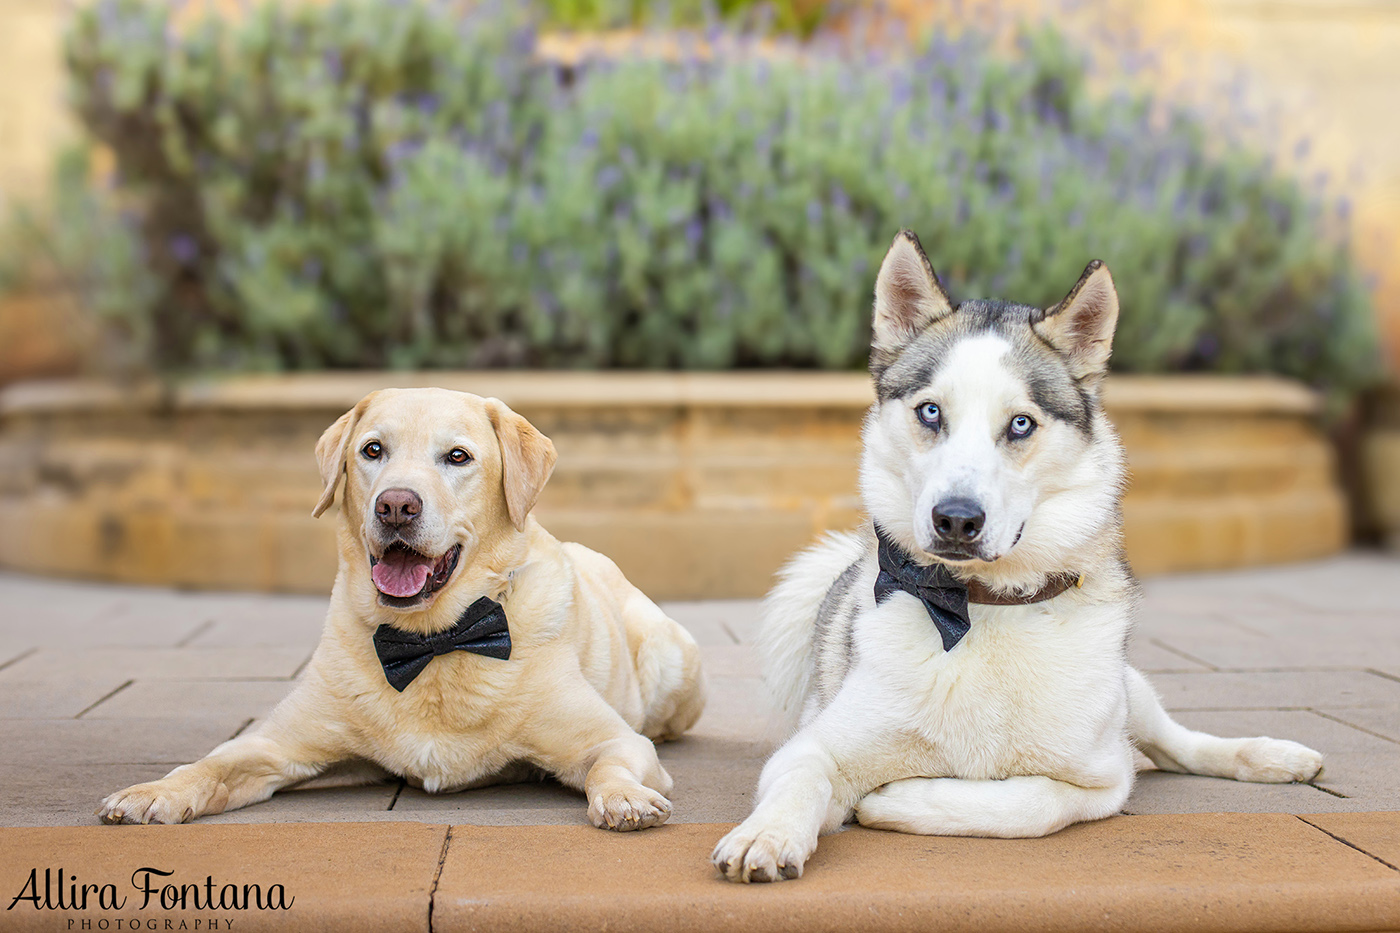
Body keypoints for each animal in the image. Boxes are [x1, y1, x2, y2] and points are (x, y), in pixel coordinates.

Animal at [711, 231, 1321, 879]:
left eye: (1021, 424)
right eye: (931, 411)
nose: (956, 519)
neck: (979, 606)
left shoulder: (1101, 780)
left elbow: (1028, 803)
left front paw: (897, 798)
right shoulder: (810, 747)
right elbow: (802, 781)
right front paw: (768, 833)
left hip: (1127, 699)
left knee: (1177, 744)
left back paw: (1273, 755)